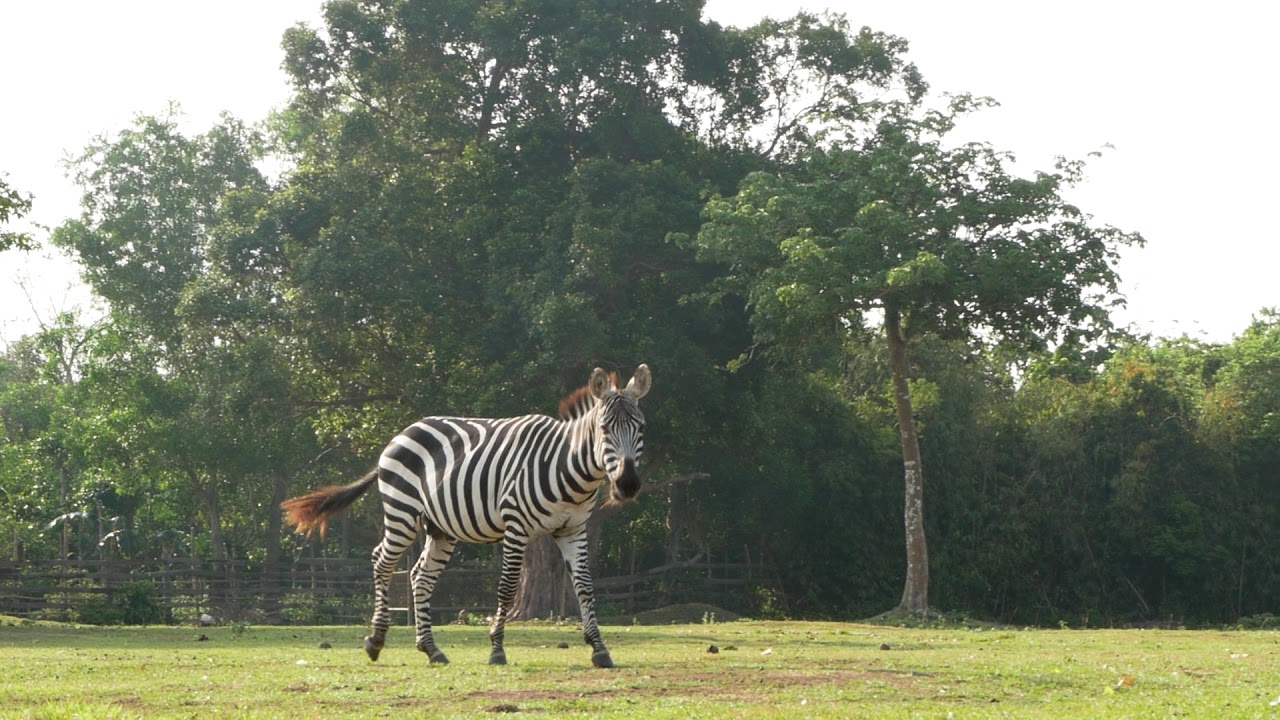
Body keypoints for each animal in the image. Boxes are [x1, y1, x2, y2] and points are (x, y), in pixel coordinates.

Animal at [281, 364, 650, 668]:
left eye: (641, 428)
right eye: (604, 429)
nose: (628, 484)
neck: (567, 467)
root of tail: (404, 431)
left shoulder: (573, 529)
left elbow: (585, 587)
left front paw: (600, 649)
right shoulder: (516, 526)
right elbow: (507, 587)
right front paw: (497, 650)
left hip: (441, 528)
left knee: (420, 575)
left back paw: (431, 649)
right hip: (402, 513)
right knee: (381, 562)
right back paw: (376, 641)